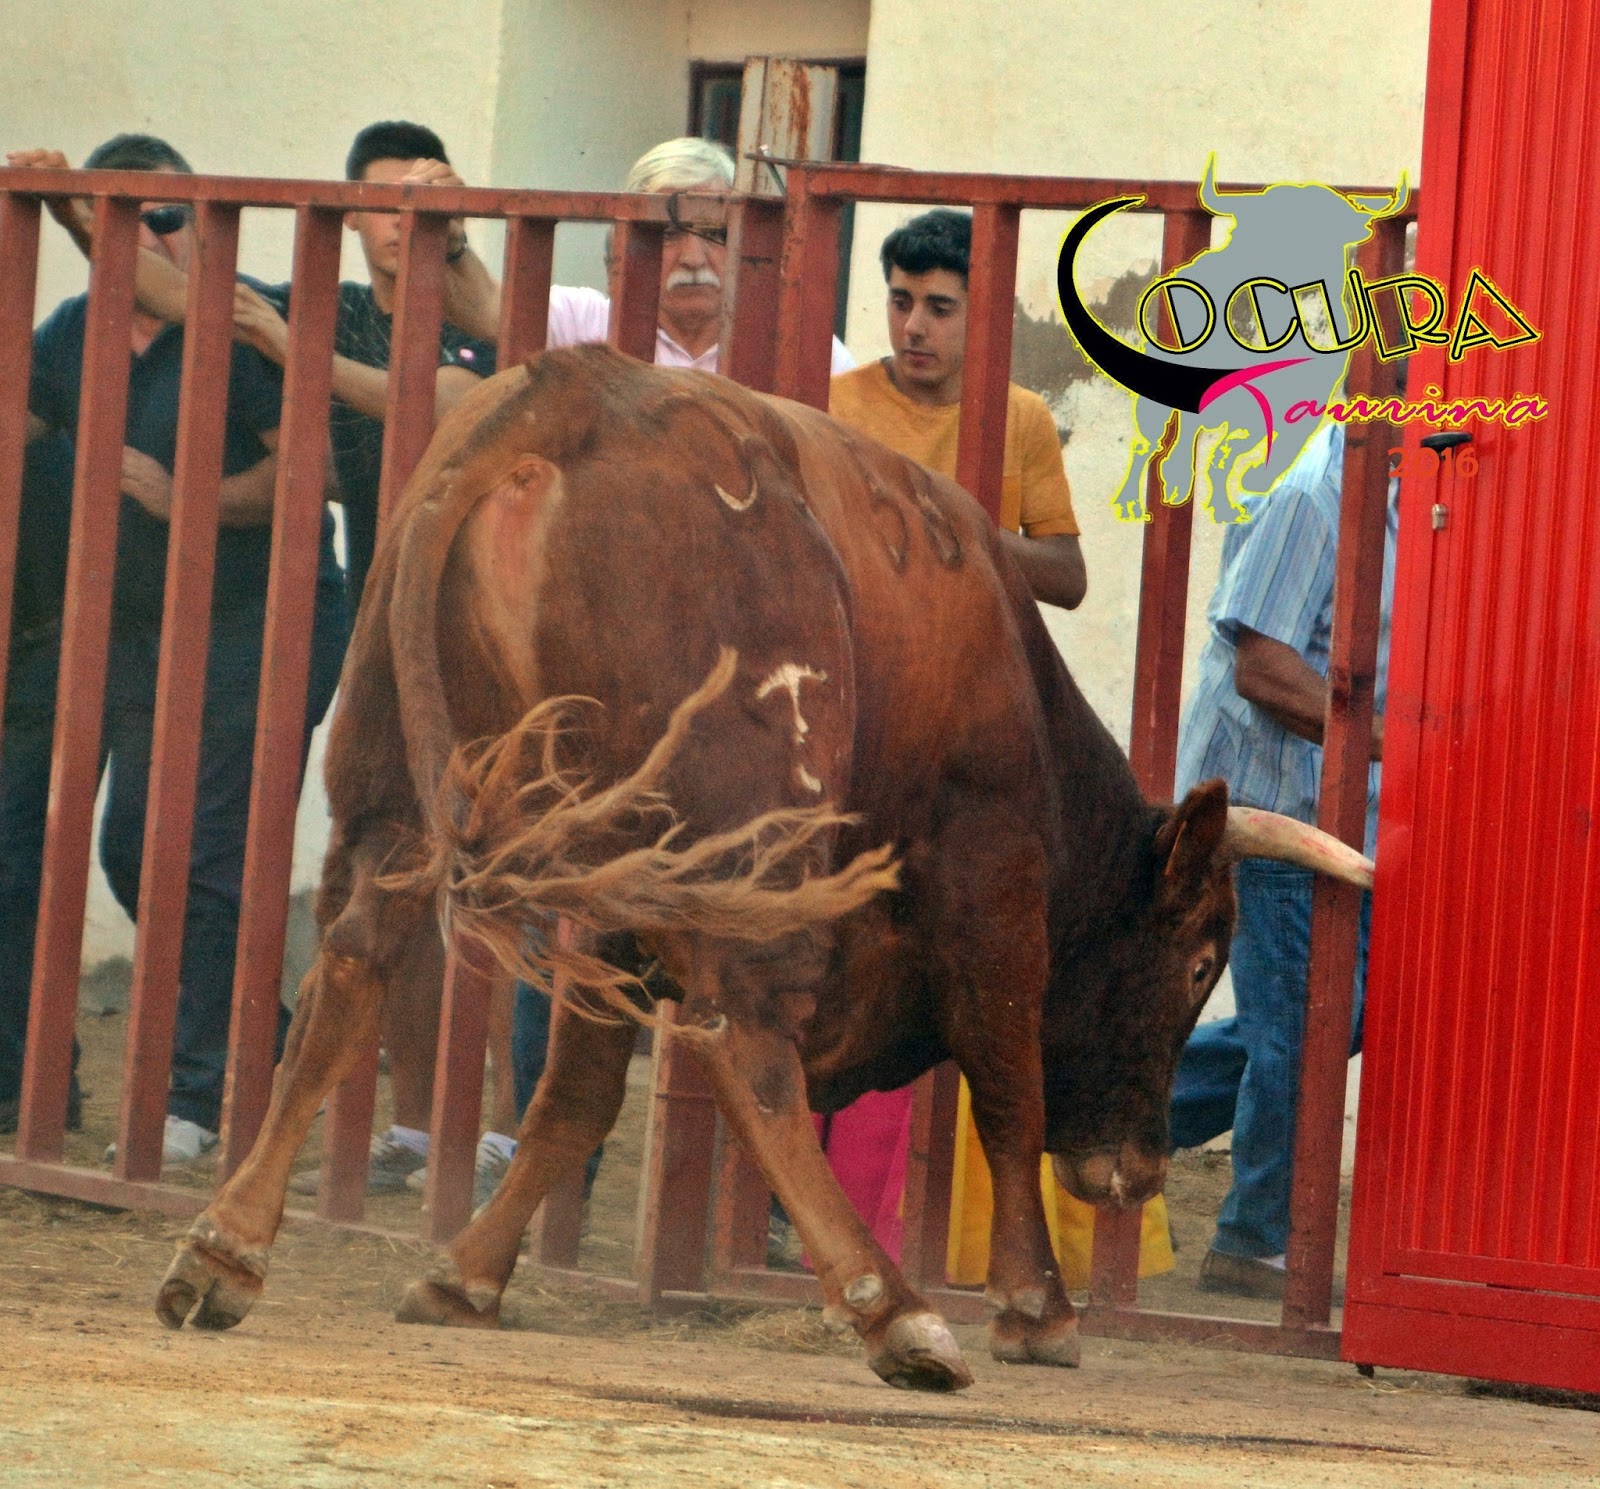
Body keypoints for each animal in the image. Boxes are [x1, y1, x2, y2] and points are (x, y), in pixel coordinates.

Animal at [154, 345, 1372, 1392]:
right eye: (1201, 958)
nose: (1135, 1169)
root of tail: (575, 395)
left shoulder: (613, 909)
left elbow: (576, 1091)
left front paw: (465, 1275)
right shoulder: (992, 888)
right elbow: (1006, 1086)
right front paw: (1036, 1306)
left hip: (405, 806)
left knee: (352, 969)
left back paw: (223, 1249)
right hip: (749, 858)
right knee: (748, 1043)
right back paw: (896, 1310)